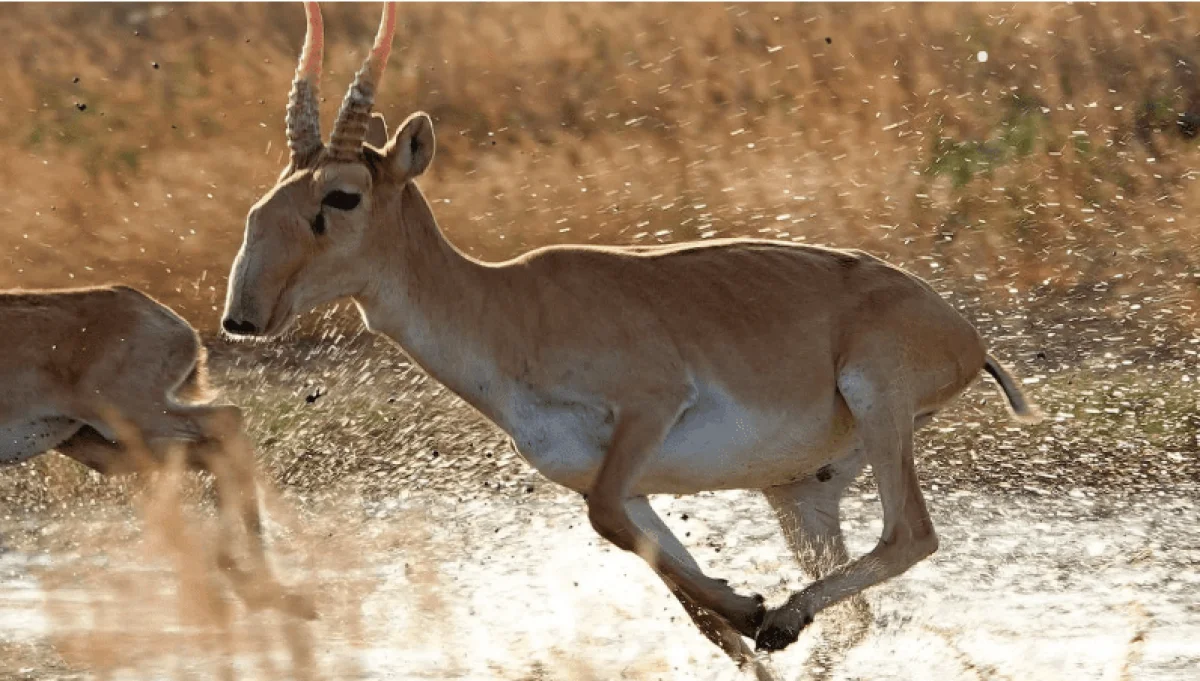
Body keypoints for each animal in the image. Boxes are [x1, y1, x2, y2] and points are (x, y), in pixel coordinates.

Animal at [223, 2, 1041, 676]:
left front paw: (755, 610)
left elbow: (612, 523)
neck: (505, 309)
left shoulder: (649, 410)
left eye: (341, 195)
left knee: (911, 535)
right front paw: (742, 615)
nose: (242, 316)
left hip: (876, 402)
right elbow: (671, 581)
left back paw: (787, 614)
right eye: (277, 189)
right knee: (860, 612)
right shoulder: (622, 478)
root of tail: (964, 332)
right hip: (800, 490)